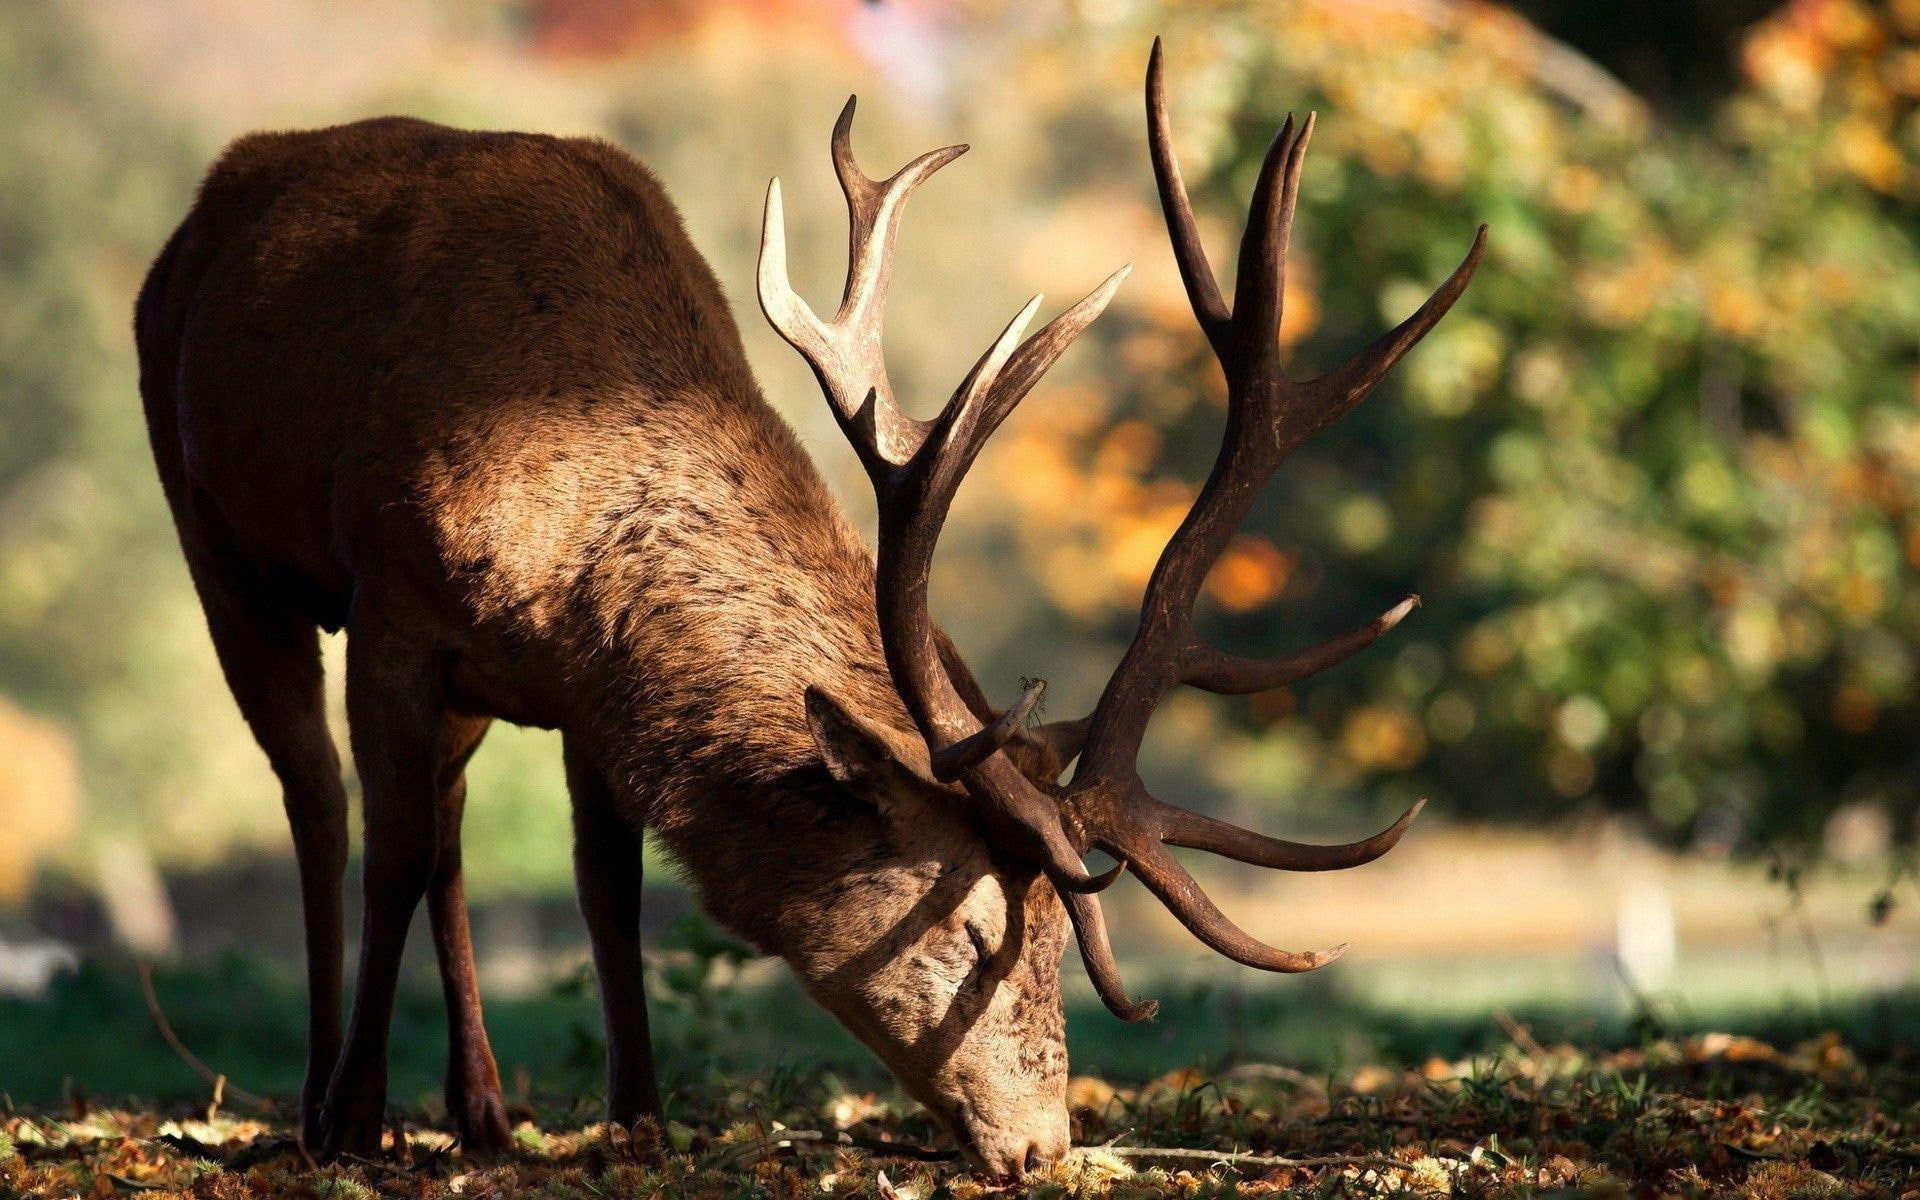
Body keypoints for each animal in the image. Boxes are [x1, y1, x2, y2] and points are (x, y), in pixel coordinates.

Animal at [133, 41, 1482, 1175]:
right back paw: (327, 1099)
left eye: (1060, 940)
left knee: (452, 825)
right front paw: (359, 1122)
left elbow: (604, 884)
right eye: (973, 932)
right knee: (322, 804)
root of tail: (205, 208)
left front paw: (638, 1120)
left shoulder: (578, 688)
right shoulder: (393, 602)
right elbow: (393, 849)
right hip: (214, 539)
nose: (1044, 1148)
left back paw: (482, 1110)